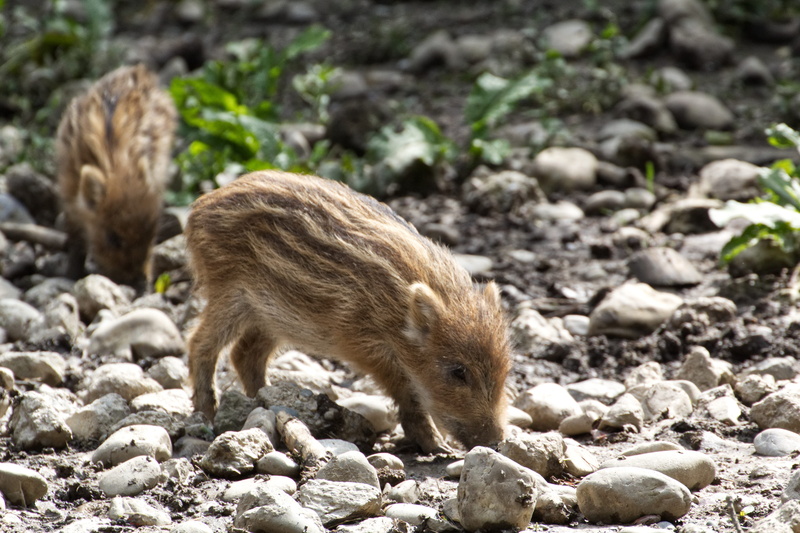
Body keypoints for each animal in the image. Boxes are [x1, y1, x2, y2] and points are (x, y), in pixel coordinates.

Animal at [55, 64, 176, 290]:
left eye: (152, 234)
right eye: (112, 238)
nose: (141, 284)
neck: (116, 165)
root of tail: (139, 71)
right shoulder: (69, 195)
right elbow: (76, 238)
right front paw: (72, 274)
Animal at [185, 170, 511, 453]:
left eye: (505, 370)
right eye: (458, 372)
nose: (496, 443)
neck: (397, 311)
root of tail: (198, 208)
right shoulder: (368, 348)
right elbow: (408, 395)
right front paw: (437, 447)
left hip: (272, 316)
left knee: (244, 354)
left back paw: (266, 403)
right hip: (229, 293)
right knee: (200, 343)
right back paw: (208, 415)